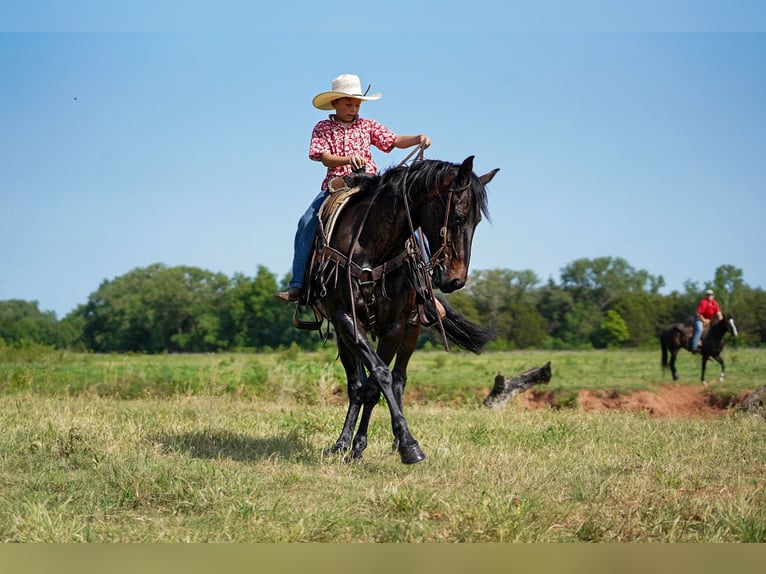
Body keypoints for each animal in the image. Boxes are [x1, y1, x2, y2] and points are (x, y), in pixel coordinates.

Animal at [304, 155, 500, 466]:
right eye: (457, 217)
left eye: (477, 220)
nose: (456, 280)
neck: (373, 247)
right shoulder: (346, 319)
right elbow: (373, 378)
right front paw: (354, 444)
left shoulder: (396, 326)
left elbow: (378, 384)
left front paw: (394, 443)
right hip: (343, 335)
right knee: (356, 384)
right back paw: (342, 443)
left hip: (413, 329)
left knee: (398, 380)